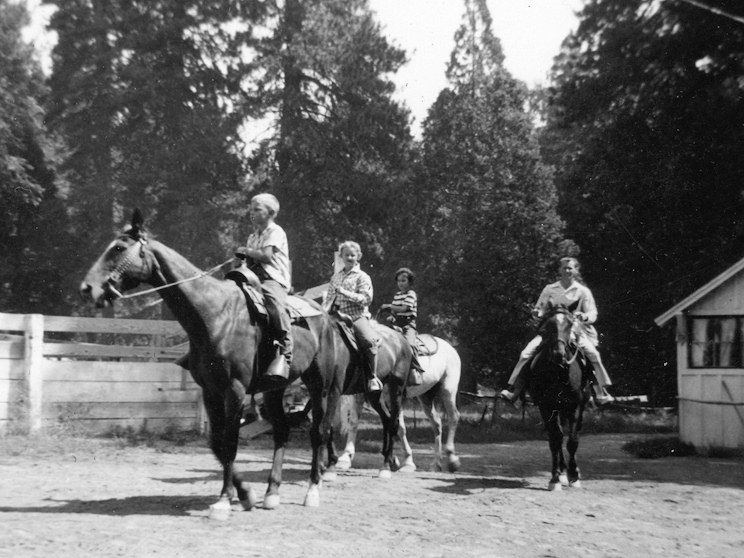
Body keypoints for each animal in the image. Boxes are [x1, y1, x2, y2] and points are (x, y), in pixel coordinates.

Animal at [80, 212, 412, 520]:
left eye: (119, 248)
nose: (87, 288)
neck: (214, 314)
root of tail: (327, 319)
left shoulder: (235, 390)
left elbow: (230, 442)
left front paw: (224, 502)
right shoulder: (211, 391)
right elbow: (217, 443)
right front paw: (245, 494)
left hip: (325, 387)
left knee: (322, 431)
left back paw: (314, 489)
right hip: (278, 390)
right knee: (283, 432)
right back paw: (272, 493)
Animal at [528, 304, 592, 492]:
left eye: (570, 324)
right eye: (548, 326)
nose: (559, 353)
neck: (559, 373)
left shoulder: (575, 407)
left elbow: (572, 441)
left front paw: (574, 476)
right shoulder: (546, 407)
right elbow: (556, 439)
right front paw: (555, 478)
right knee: (558, 434)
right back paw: (562, 471)